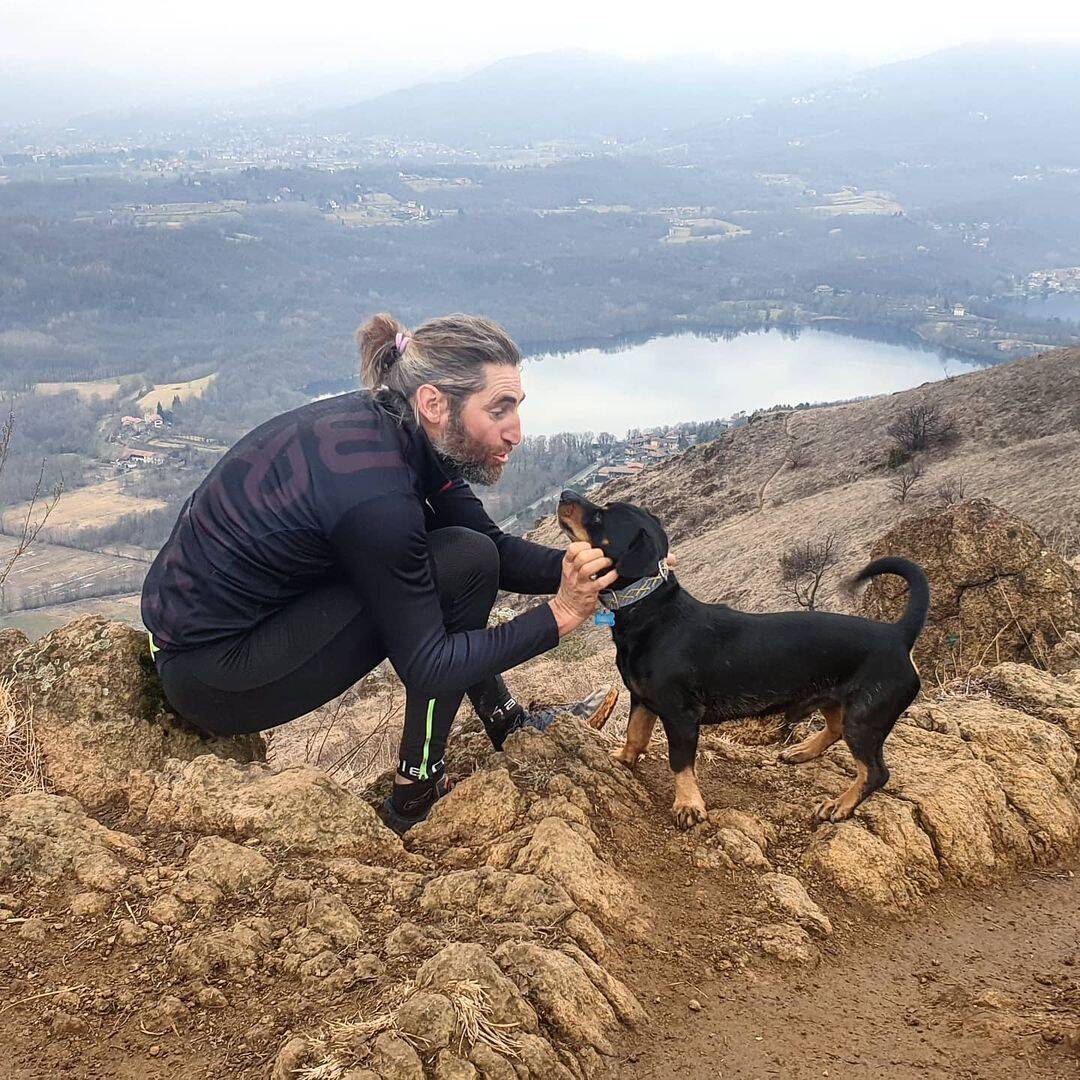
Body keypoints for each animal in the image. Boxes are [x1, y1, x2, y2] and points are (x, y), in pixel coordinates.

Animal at [557, 490, 928, 825]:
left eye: (600, 516)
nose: (565, 494)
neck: (651, 610)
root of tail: (898, 635)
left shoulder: (680, 715)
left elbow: (679, 761)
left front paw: (688, 804)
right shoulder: (641, 698)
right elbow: (635, 735)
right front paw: (623, 758)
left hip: (865, 718)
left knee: (875, 772)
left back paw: (841, 804)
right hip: (835, 699)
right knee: (836, 729)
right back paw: (804, 751)